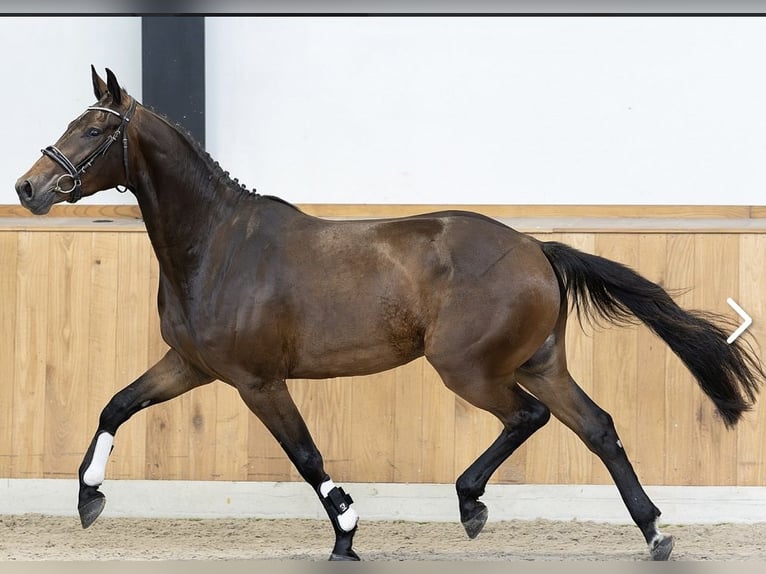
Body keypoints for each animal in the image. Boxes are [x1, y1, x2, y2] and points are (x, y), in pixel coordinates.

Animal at [15, 67, 764, 561]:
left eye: (93, 128)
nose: (28, 187)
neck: (217, 246)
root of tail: (536, 249)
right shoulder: (191, 365)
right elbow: (116, 404)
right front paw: (87, 498)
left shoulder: (256, 380)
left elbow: (306, 454)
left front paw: (346, 533)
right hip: (539, 363)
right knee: (599, 428)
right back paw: (655, 533)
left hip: (469, 368)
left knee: (528, 418)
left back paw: (471, 503)